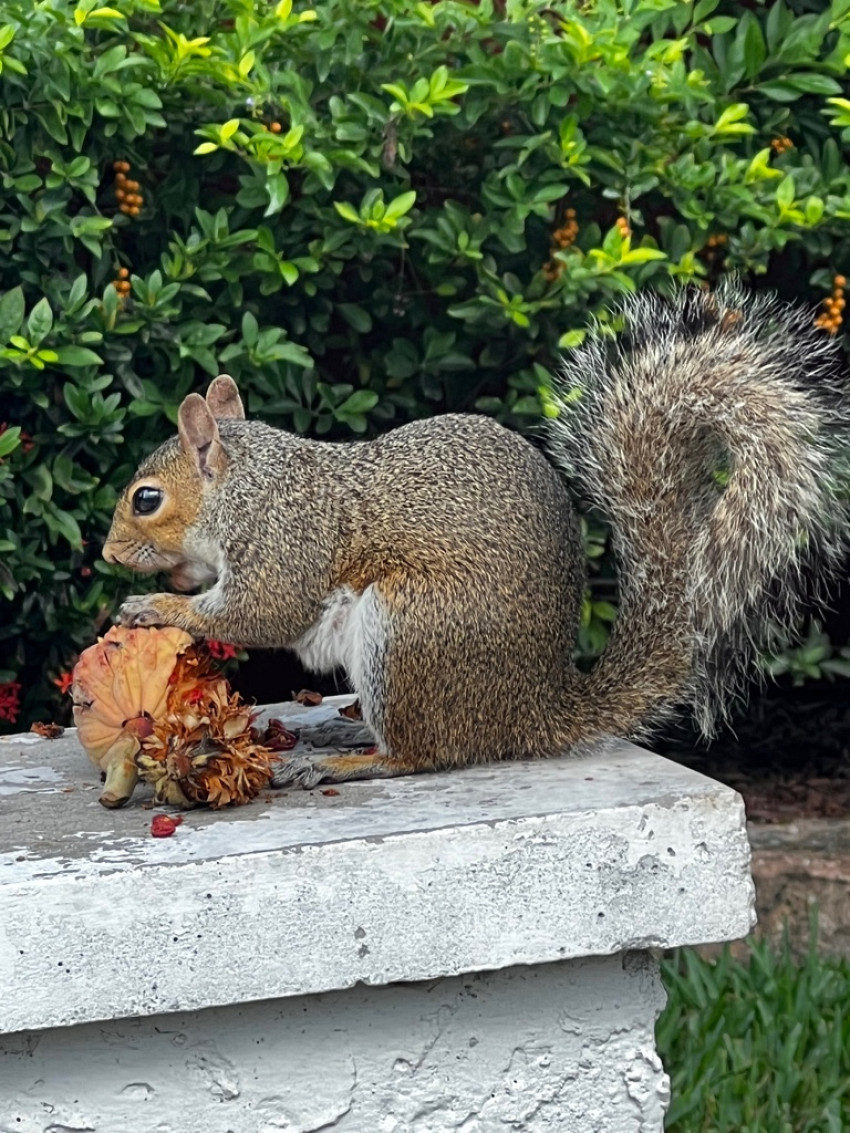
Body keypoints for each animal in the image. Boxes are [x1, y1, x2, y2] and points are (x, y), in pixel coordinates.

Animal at [104, 283, 849, 788]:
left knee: (421, 756)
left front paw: (154, 608)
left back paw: (349, 761)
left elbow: (264, 610)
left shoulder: (284, 542)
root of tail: (533, 712)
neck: (246, 488)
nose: (109, 552)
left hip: (410, 630)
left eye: (147, 499)